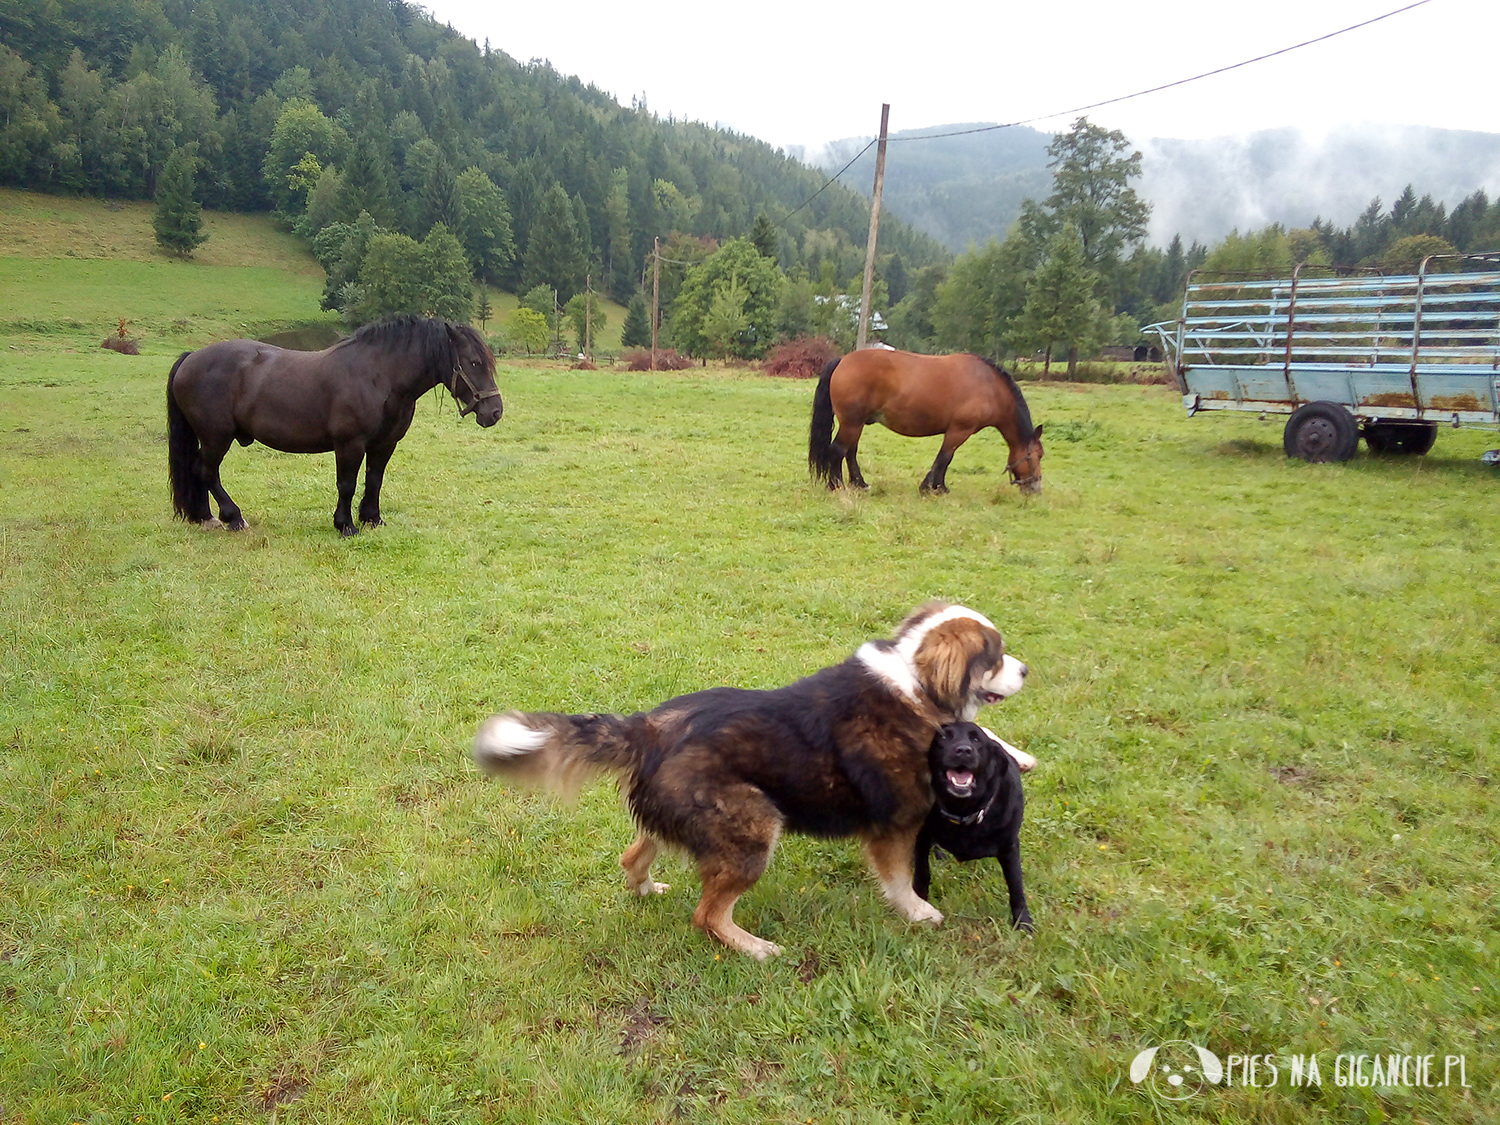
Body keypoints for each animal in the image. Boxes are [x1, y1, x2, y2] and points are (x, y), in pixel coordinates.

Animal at [167, 313, 501, 534]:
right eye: (474, 362)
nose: (495, 411)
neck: (379, 377)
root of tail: (191, 357)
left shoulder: (384, 444)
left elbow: (374, 480)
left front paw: (372, 518)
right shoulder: (349, 444)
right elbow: (347, 484)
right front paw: (346, 525)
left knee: (199, 472)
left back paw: (204, 516)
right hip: (216, 437)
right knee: (207, 472)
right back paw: (232, 517)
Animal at [810, 351, 1044, 495]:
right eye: (1038, 455)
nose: (1036, 488)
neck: (988, 385)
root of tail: (842, 360)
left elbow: (945, 459)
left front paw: (938, 486)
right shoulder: (959, 430)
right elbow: (944, 458)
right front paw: (932, 487)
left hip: (856, 424)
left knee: (850, 452)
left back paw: (860, 483)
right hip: (851, 423)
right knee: (837, 450)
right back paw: (836, 486)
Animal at [912, 723, 1032, 936]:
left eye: (976, 740)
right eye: (944, 737)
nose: (963, 750)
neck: (962, 811)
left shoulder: (1009, 847)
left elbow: (1016, 887)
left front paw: (1023, 921)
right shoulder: (922, 836)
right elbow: (922, 874)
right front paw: (921, 907)